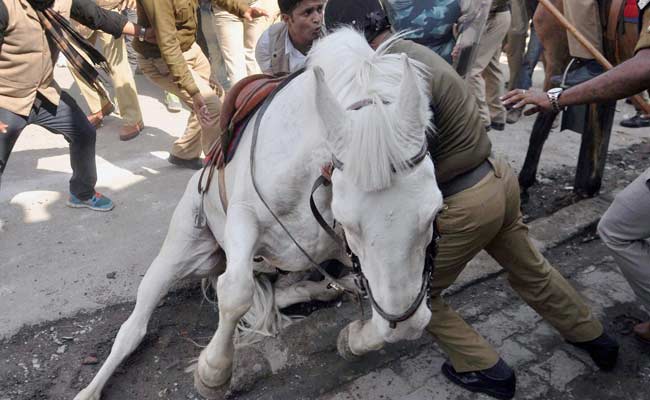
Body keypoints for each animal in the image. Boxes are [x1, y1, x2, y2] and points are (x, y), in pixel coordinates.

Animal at [74, 28, 440, 400]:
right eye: (350, 224)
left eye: (434, 212)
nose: (405, 323)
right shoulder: (243, 216)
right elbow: (235, 292)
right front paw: (213, 372)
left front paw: (354, 338)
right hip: (181, 249)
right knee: (133, 328)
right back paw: (90, 389)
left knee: (286, 290)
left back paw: (327, 288)